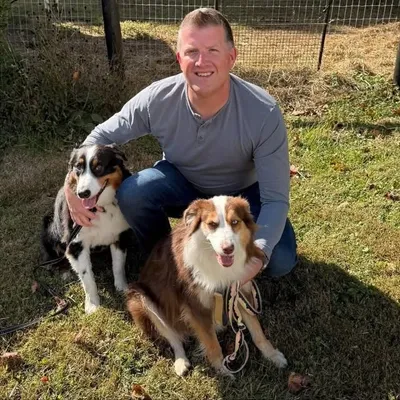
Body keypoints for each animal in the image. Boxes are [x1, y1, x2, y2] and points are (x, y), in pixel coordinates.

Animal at [41, 144, 131, 314]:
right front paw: (93, 305)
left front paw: (123, 289)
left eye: (99, 167)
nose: (83, 193)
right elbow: (87, 277)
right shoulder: (76, 245)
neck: (100, 208)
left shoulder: (120, 236)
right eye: (78, 167)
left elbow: (118, 266)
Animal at [126, 195, 287, 376]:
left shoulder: (239, 291)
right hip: (141, 299)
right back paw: (181, 362)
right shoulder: (196, 307)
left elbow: (257, 331)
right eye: (212, 224)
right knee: (174, 338)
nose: (228, 249)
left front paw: (272, 355)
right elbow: (212, 343)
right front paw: (222, 370)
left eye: (235, 222)